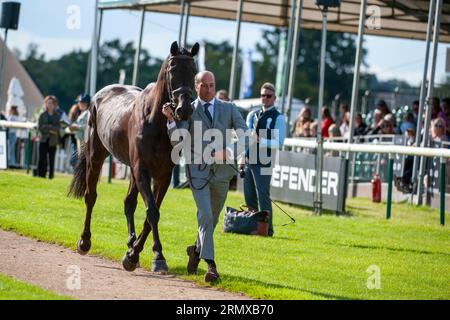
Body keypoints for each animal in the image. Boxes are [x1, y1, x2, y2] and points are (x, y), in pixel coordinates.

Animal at [68, 42, 199, 272]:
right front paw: (152, 255)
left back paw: (130, 241)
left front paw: (138, 253)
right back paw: (85, 241)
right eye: (172, 70)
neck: (156, 121)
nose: (184, 110)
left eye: (193, 71)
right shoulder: (142, 169)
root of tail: (99, 95)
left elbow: (151, 213)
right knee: (90, 197)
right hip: (96, 156)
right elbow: (152, 212)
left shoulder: (163, 175)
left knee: (129, 202)